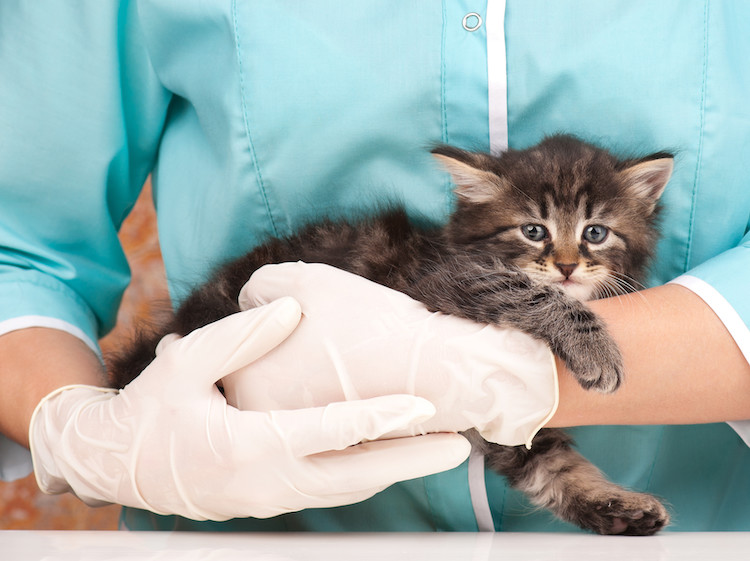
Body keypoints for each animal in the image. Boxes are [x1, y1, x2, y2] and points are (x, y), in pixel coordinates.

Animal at [110, 135, 676, 532]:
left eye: (595, 233)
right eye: (533, 230)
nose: (566, 266)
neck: (456, 248)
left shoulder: (507, 419)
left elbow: (554, 468)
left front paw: (617, 506)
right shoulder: (445, 282)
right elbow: (531, 294)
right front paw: (594, 347)